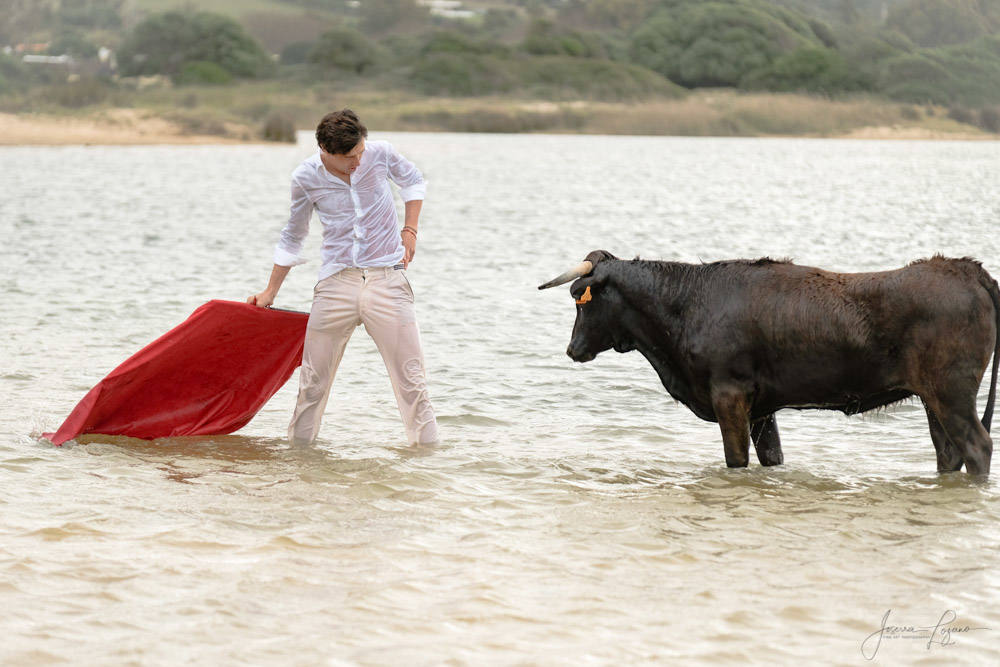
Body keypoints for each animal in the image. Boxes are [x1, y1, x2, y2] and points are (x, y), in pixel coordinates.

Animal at [540, 253, 1000, 478]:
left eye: (581, 297)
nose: (572, 349)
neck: (686, 305)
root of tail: (965, 269)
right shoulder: (762, 409)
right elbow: (772, 458)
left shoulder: (730, 394)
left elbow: (735, 460)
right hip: (933, 399)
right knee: (948, 454)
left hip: (952, 393)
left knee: (977, 447)